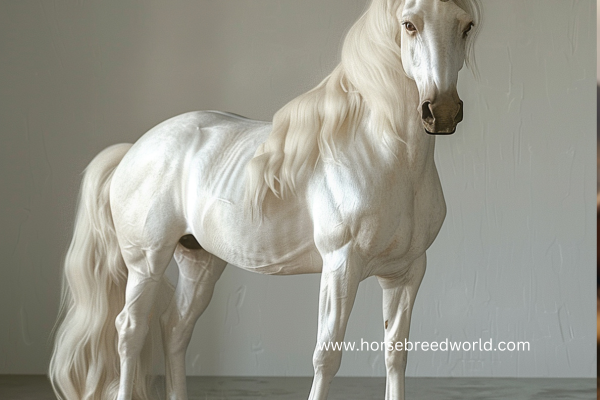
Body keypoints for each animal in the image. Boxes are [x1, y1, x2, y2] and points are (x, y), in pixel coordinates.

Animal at [50, 0, 482, 400]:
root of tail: (134, 150)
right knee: (130, 330)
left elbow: (396, 354)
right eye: (409, 24)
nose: (441, 111)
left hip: (200, 262)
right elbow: (327, 356)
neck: (385, 157)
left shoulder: (405, 273)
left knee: (174, 328)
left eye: (466, 25)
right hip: (146, 262)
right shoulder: (341, 266)